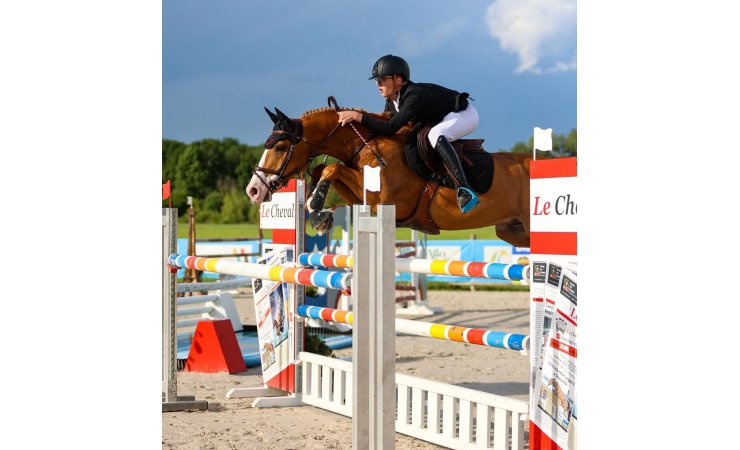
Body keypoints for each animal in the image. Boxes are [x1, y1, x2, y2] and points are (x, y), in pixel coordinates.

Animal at [245, 103, 532, 247]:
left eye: (280, 147)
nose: (254, 190)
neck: (364, 143)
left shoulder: (385, 198)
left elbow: (331, 168)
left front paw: (316, 211)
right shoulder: (364, 198)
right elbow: (326, 170)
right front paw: (320, 214)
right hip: (509, 229)